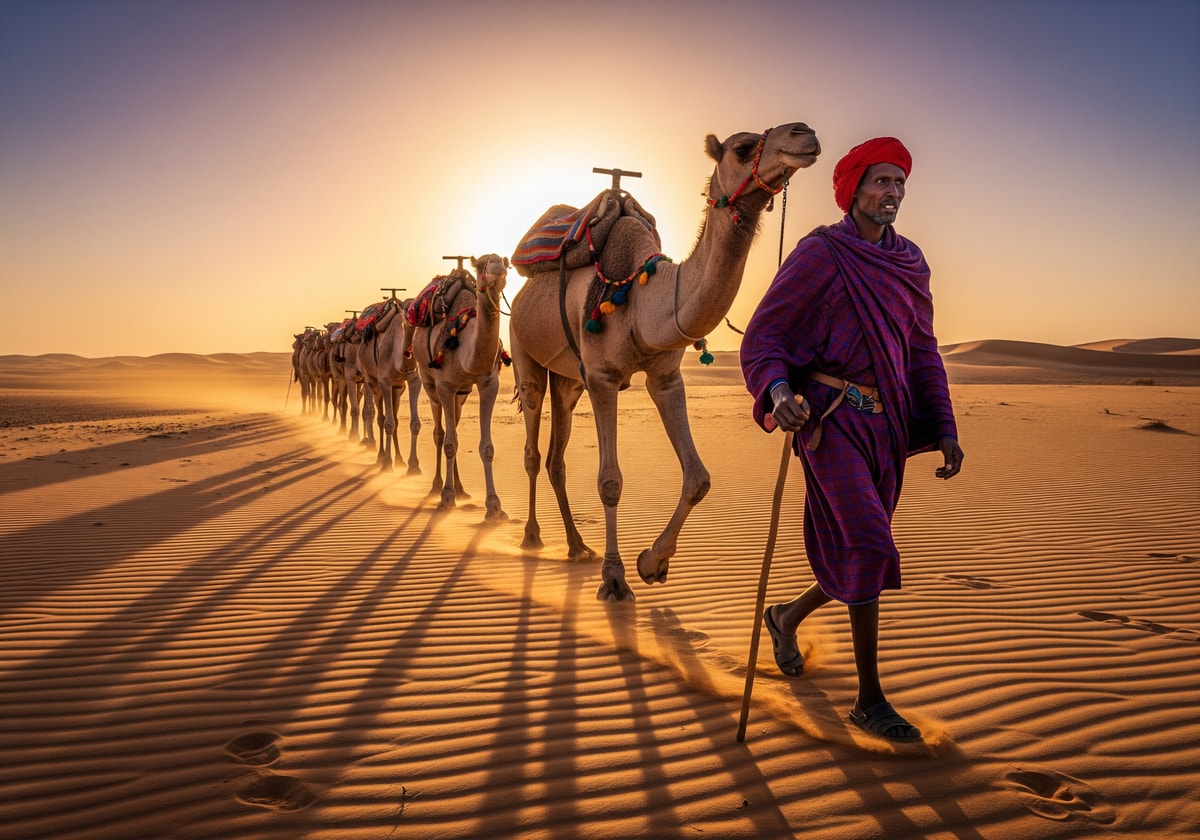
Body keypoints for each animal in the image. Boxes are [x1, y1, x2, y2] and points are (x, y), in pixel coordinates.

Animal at [410, 254, 510, 518]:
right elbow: (448, 442)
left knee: (452, 426)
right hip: (429, 383)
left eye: (504, 262)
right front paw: (446, 498)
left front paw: (494, 507)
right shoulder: (445, 386)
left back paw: (462, 489)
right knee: (440, 432)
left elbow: (486, 447)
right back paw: (437, 486)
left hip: (462, 395)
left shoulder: (489, 385)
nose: (497, 268)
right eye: (482, 264)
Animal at [507, 122, 820, 601]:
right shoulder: (602, 377)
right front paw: (615, 578)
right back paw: (531, 537)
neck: (643, 298)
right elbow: (610, 481)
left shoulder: (665, 376)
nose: (805, 134)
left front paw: (652, 563)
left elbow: (698, 477)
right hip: (526, 356)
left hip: (569, 381)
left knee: (556, 458)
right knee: (531, 444)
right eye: (743, 147)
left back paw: (578, 546)